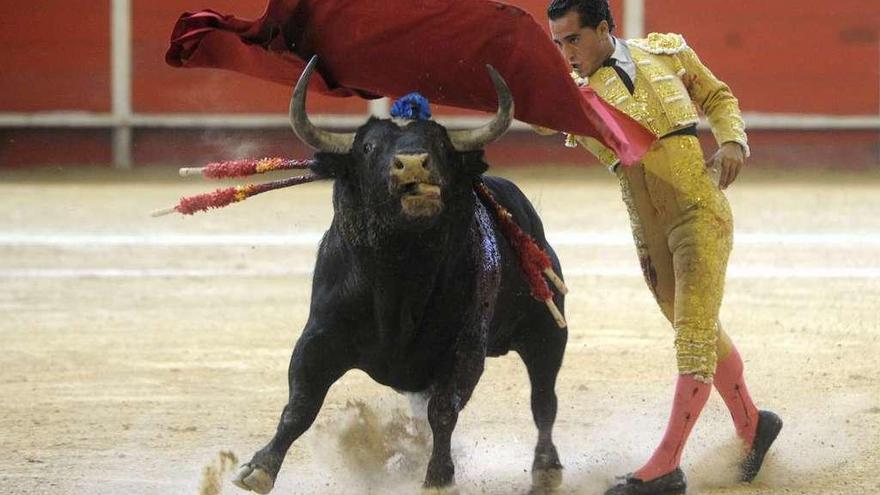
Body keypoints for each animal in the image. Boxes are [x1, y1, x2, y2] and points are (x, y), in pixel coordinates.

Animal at [230, 57, 568, 492]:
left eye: (440, 146)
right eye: (369, 148)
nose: (411, 165)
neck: (400, 271)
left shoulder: (465, 348)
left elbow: (445, 410)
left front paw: (438, 476)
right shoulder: (320, 335)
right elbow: (301, 404)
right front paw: (259, 468)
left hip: (547, 330)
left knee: (543, 398)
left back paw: (546, 468)